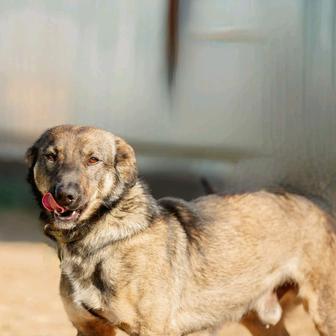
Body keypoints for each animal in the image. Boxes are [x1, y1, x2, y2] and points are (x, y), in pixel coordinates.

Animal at [25, 124, 336, 334]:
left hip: (324, 312)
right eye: (51, 156)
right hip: (261, 321)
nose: (66, 195)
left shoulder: (151, 330)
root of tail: (316, 202)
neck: (99, 239)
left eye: (93, 160)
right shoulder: (90, 328)